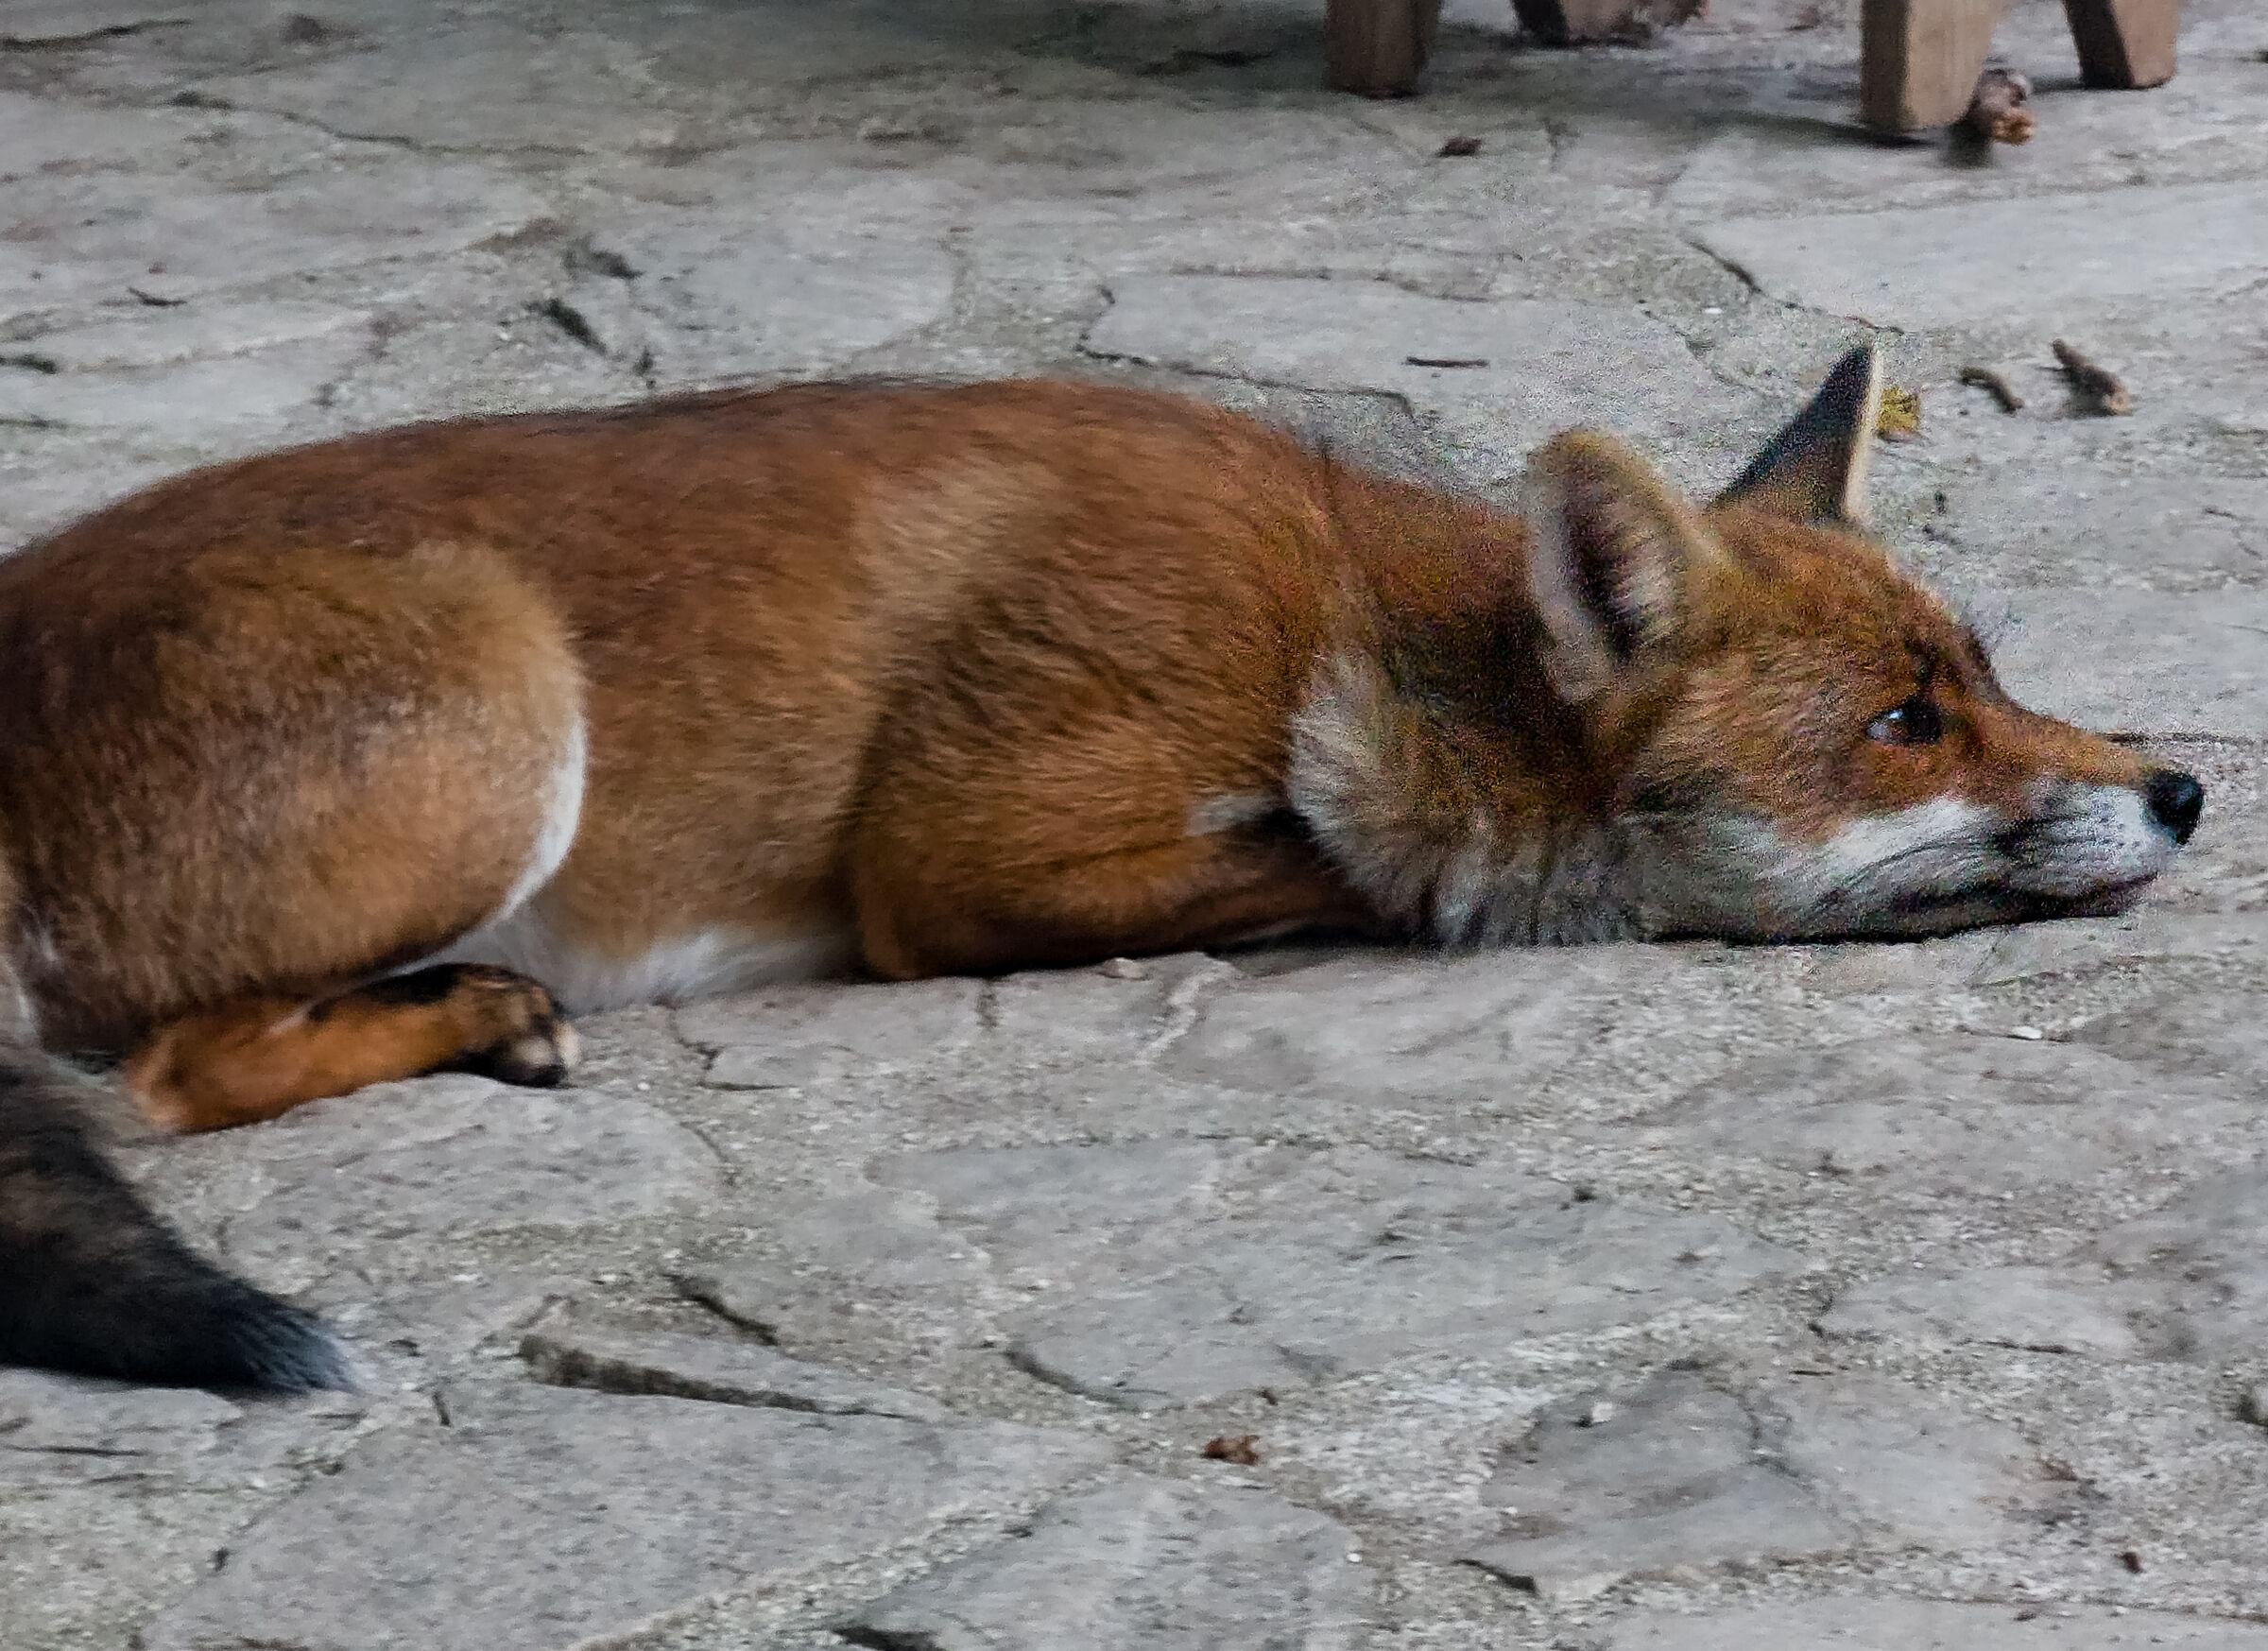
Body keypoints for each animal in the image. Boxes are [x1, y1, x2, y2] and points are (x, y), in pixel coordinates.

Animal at [0, 343, 2202, 1390]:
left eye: (1989, 678)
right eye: (1903, 729)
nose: (2184, 788)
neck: (1343, 620)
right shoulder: (959, 859)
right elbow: (1347, 868)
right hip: (500, 718)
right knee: (171, 1077)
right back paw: (472, 1010)